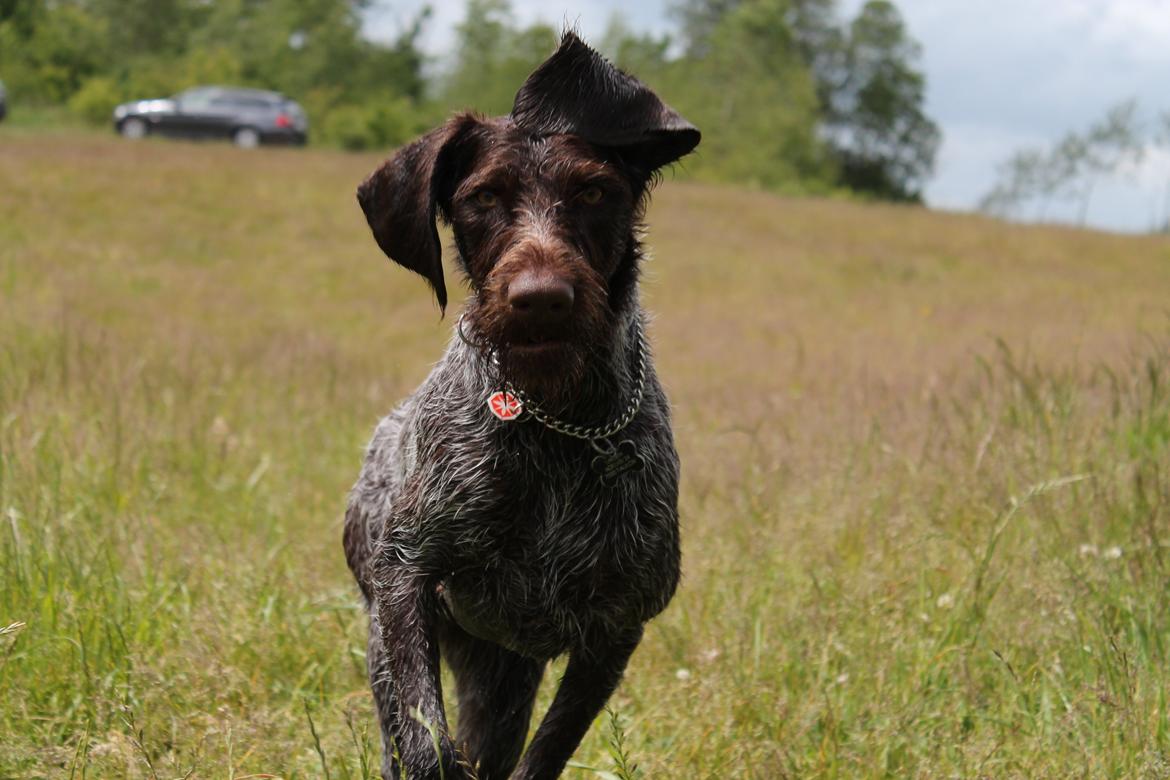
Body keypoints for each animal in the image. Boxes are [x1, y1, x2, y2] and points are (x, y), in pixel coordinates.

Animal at [341, 32, 697, 780]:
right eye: (482, 197)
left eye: (592, 190)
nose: (539, 299)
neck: (556, 422)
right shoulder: (405, 576)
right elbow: (427, 745)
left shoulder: (615, 630)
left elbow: (543, 756)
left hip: (504, 674)